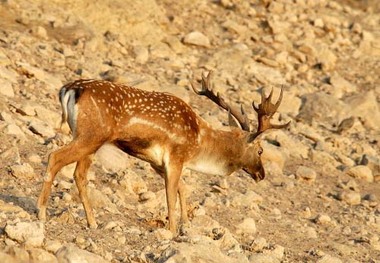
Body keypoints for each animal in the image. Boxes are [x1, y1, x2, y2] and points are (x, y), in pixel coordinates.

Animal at [37, 71, 290, 234]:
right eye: (260, 150)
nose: (262, 174)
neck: (199, 142)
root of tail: (69, 89)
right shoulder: (176, 156)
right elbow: (170, 195)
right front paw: (172, 230)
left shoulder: (156, 163)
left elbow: (183, 188)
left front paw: (186, 225)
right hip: (91, 135)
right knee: (55, 157)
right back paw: (41, 213)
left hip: (89, 139)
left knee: (78, 174)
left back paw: (92, 222)